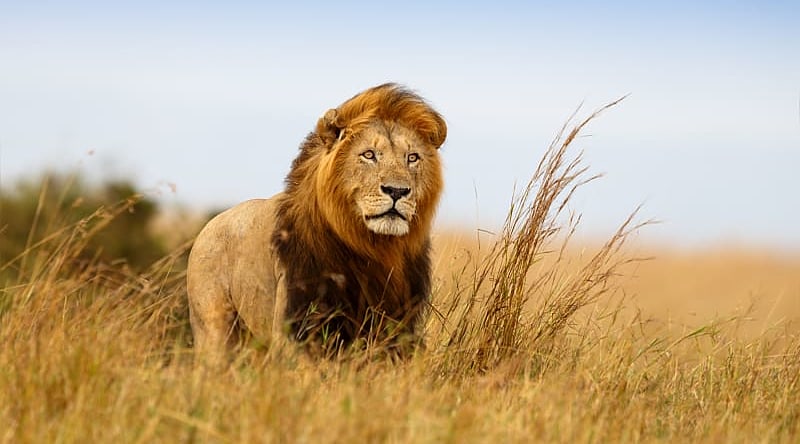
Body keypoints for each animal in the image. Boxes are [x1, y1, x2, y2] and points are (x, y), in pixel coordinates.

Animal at [186, 83, 447, 364]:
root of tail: (208, 226)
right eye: (368, 155)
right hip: (215, 330)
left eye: (412, 158)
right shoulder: (297, 323)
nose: (397, 191)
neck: (374, 247)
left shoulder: (398, 324)